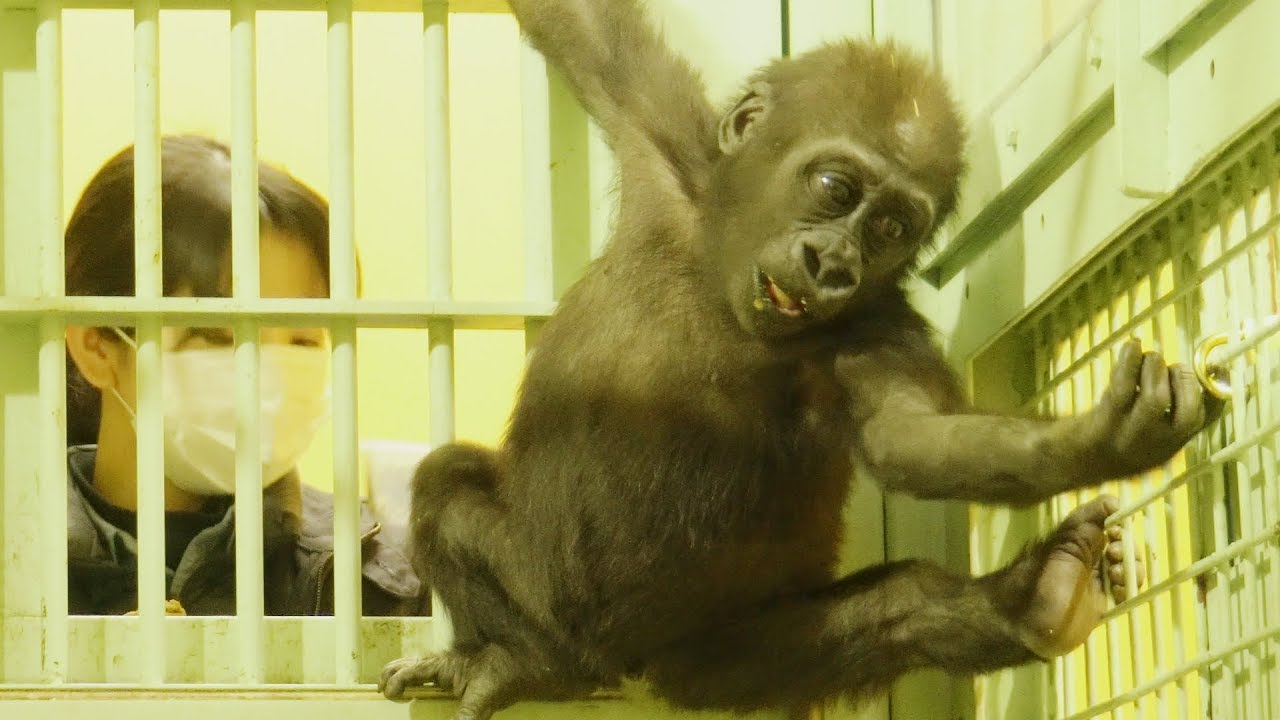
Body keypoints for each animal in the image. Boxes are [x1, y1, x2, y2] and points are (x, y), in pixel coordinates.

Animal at [379, 1, 1214, 717]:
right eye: (835, 187)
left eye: (890, 229)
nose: (834, 262)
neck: (721, 269)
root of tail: (621, 663)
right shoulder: (661, 131)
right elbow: (584, 30)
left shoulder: (877, 332)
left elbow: (914, 439)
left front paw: (1094, 442)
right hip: (556, 601)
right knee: (450, 487)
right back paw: (516, 660)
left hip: (719, 656)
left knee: (896, 611)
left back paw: (1030, 602)